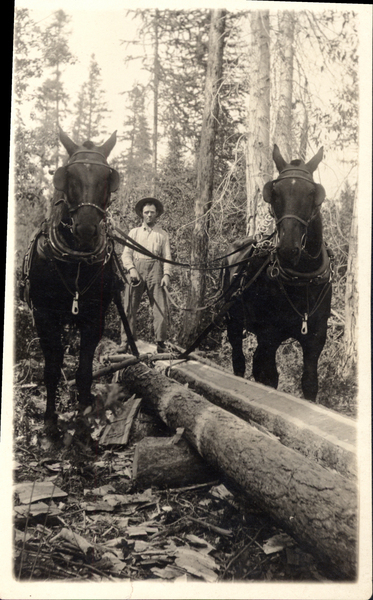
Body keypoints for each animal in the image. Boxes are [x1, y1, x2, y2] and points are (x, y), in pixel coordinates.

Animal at [20, 129, 119, 436]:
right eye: (68, 175)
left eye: (107, 178)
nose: (86, 229)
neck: (75, 262)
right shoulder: (44, 315)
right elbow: (52, 368)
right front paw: (50, 420)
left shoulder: (94, 316)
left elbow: (85, 369)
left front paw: (85, 413)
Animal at [222, 144, 332, 404]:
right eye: (275, 192)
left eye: (312, 193)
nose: (288, 248)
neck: (302, 279)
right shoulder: (269, 334)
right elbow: (269, 378)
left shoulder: (316, 338)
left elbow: (310, 383)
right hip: (233, 320)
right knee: (240, 361)